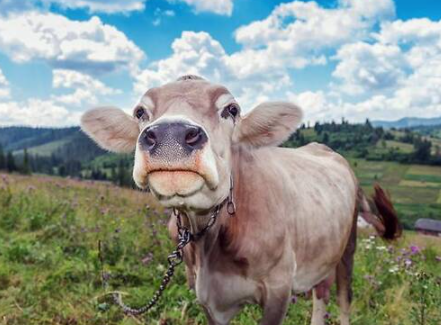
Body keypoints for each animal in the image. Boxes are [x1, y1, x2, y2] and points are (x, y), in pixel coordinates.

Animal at [81, 74, 400, 322]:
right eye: (140, 112)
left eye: (231, 109)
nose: (171, 134)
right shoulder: (208, 299)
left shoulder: (279, 289)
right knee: (321, 292)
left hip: (348, 247)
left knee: (344, 299)